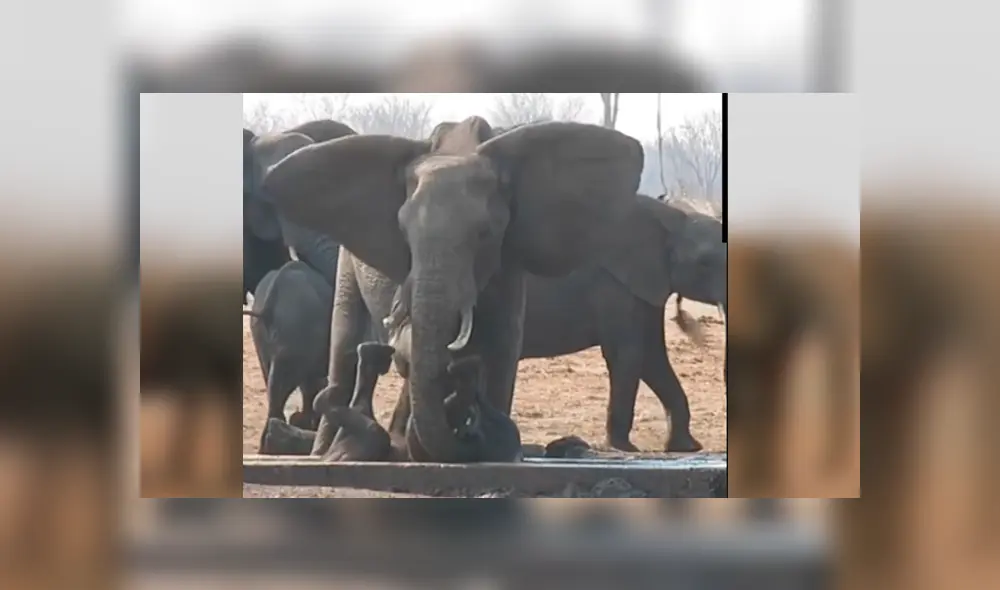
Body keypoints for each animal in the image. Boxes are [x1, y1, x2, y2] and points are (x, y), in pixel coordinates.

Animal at [265, 117, 643, 463]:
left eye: (485, 233)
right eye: (403, 232)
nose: (461, 376)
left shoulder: (508, 259)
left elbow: (502, 346)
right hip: (346, 263)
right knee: (344, 346)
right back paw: (329, 450)